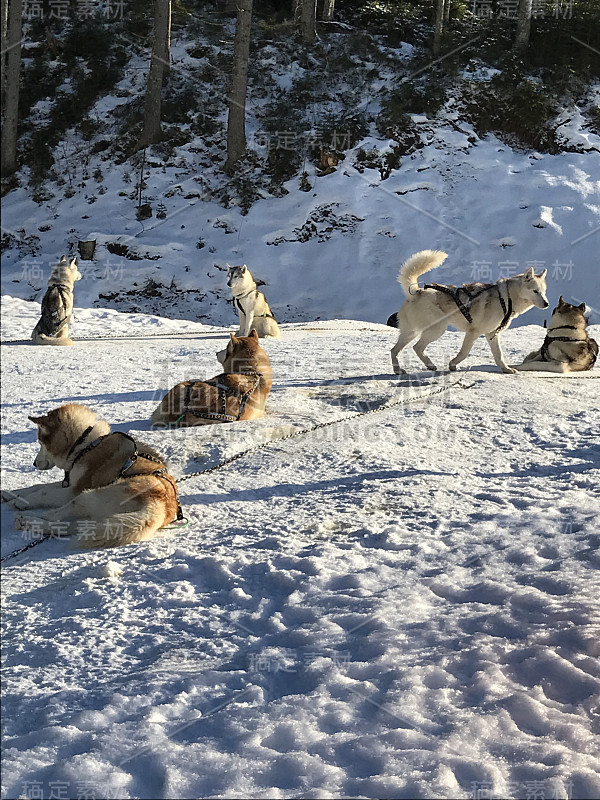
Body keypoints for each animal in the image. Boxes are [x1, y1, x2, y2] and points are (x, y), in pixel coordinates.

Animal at [1, 406, 180, 552]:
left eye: (40, 443)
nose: (34, 463)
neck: (85, 444)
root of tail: (159, 507)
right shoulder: (69, 482)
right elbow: (38, 486)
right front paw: (10, 493)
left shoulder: (73, 490)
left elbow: (42, 493)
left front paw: (19, 502)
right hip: (97, 518)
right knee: (66, 526)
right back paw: (27, 523)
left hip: (86, 496)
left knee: (55, 516)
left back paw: (31, 518)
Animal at [390, 250, 548, 376]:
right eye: (535, 291)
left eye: (544, 292)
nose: (547, 304)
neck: (505, 298)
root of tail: (417, 292)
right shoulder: (473, 332)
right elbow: (464, 353)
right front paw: (453, 364)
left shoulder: (492, 334)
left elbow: (499, 355)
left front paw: (506, 369)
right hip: (437, 329)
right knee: (415, 347)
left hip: (412, 332)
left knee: (396, 350)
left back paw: (405, 369)